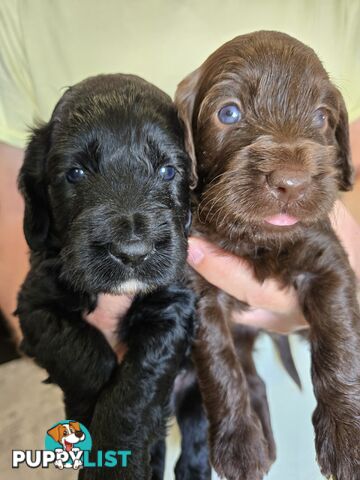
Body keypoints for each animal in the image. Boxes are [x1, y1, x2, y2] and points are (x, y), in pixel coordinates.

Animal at [16, 73, 197, 478]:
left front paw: (114, 461)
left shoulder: (172, 306)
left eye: (167, 171)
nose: (132, 251)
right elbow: (84, 355)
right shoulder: (36, 305)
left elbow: (134, 389)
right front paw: (85, 422)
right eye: (76, 173)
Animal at [175, 31, 360, 480]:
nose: (290, 182)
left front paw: (347, 434)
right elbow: (220, 366)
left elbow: (339, 340)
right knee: (249, 376)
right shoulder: (200, 294)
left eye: (321, 118)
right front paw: (237, 444)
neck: (256, 239)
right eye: (228, 112)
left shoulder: (328, 264)